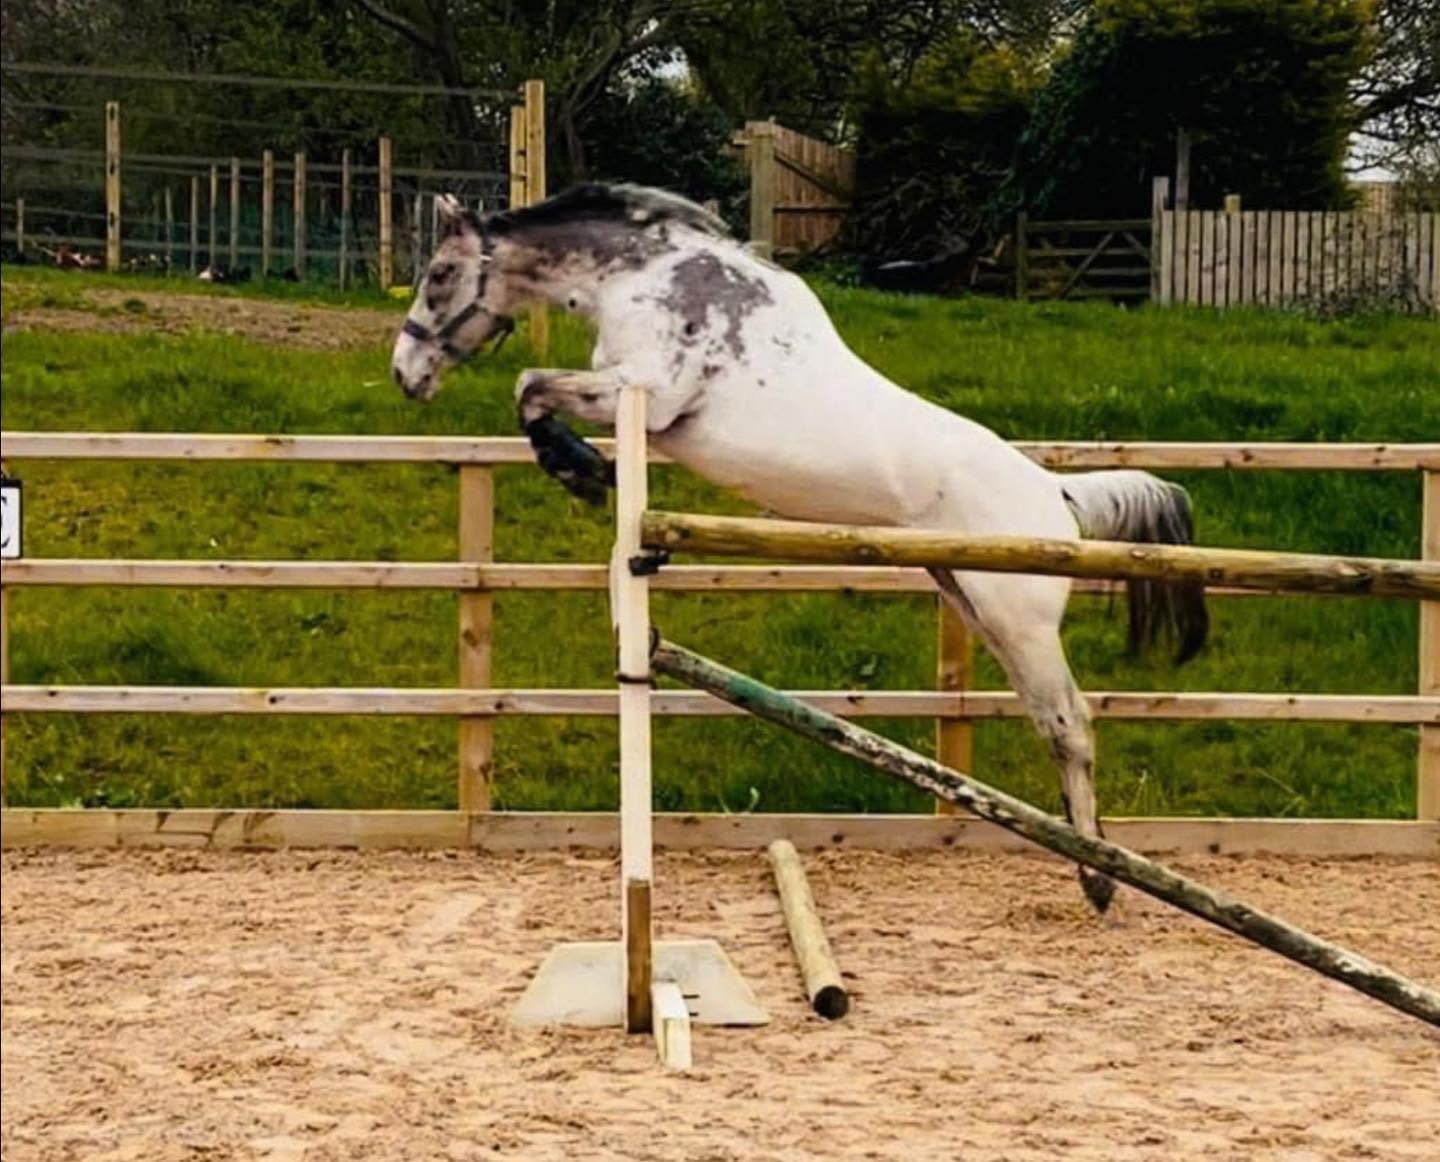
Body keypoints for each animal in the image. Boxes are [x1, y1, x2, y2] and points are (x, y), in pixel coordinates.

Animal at [391, 184, 1208, 913]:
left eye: (439, 275)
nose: (406, 375)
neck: (646, 276)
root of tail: (1055, 492)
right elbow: (535, 392)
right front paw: (586, 468)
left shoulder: (646, 395)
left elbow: (531, 385)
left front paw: (582, 469)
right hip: (973, 600)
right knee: (1048, 720)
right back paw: (1093, 867)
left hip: (1019, 618)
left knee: (1071, 725)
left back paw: (1101, 879)